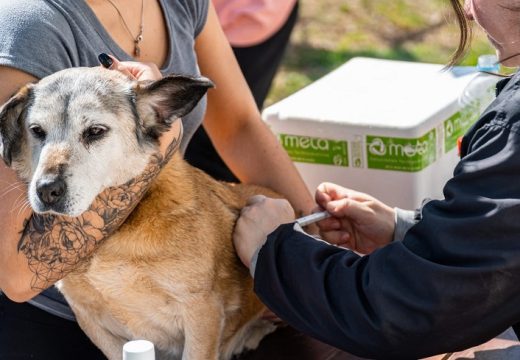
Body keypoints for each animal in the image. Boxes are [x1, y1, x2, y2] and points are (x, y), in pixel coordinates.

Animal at [0, 67, 278, 358]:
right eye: (37, 131)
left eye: (95, 131)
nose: (46, 190)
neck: (115, 235)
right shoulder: (91, 320)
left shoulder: (203, 314)